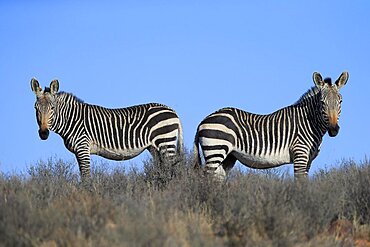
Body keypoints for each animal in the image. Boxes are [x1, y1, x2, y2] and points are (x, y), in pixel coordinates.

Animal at [30, 79, 184, 181]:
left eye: (52, 108)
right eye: (35, 108)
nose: (43, 133)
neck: (71, 119)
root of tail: (172, 110)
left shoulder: (83, 148)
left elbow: (86, 177)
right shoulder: (78, 152)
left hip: (165, 141)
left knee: (173, 168)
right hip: (154, 147)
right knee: (163, 168)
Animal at [194, 71, 350, 179]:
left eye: (340, 101)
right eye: (322, 103)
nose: (334, 130)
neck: (309, 122)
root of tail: (203, 120)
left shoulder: (308, 161)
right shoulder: (300, 154)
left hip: (228, 157)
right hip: (215, 150)